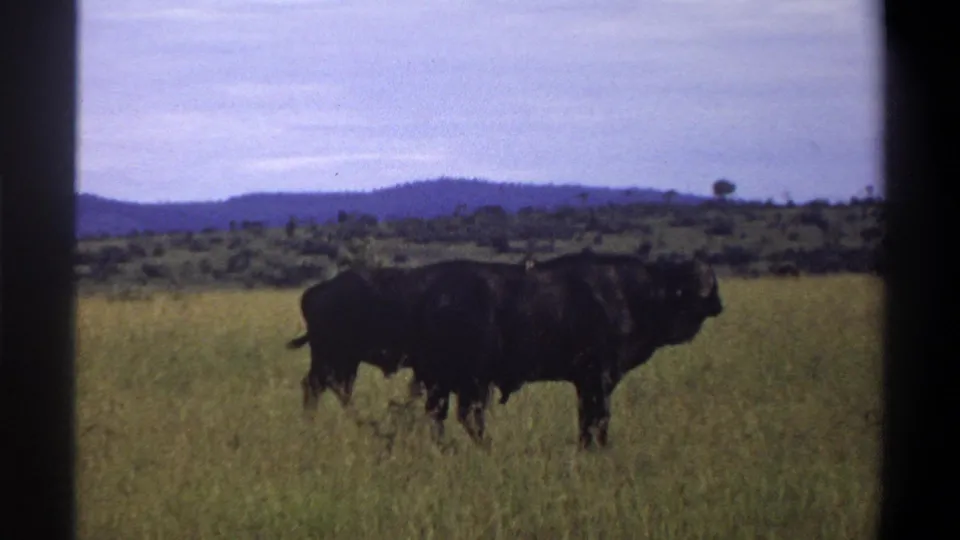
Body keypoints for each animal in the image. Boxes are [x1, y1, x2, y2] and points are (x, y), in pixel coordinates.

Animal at [409, 251, 724, 449]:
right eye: (695, 283)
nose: (718, 305)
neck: (638, 294)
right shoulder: (599, 379)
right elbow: (599, 419)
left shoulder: (586, 383)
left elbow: (587, 420)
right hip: (465, 382)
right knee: (463, 417)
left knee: (444, 416)